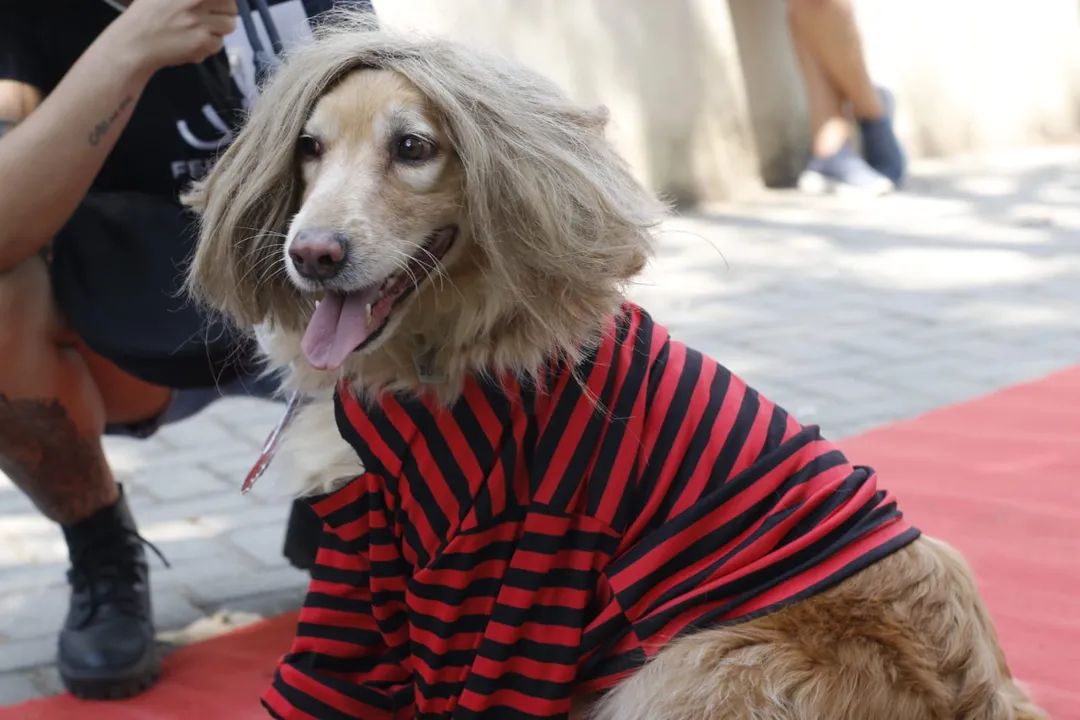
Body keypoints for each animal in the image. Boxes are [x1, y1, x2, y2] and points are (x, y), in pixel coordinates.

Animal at [183, 11, 1045, 720]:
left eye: (413, 148)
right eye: (309, 148)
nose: (311, 254)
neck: (461, 350)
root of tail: (980, 697)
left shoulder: (481, 572)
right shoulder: (361, 556)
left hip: (685, 661)